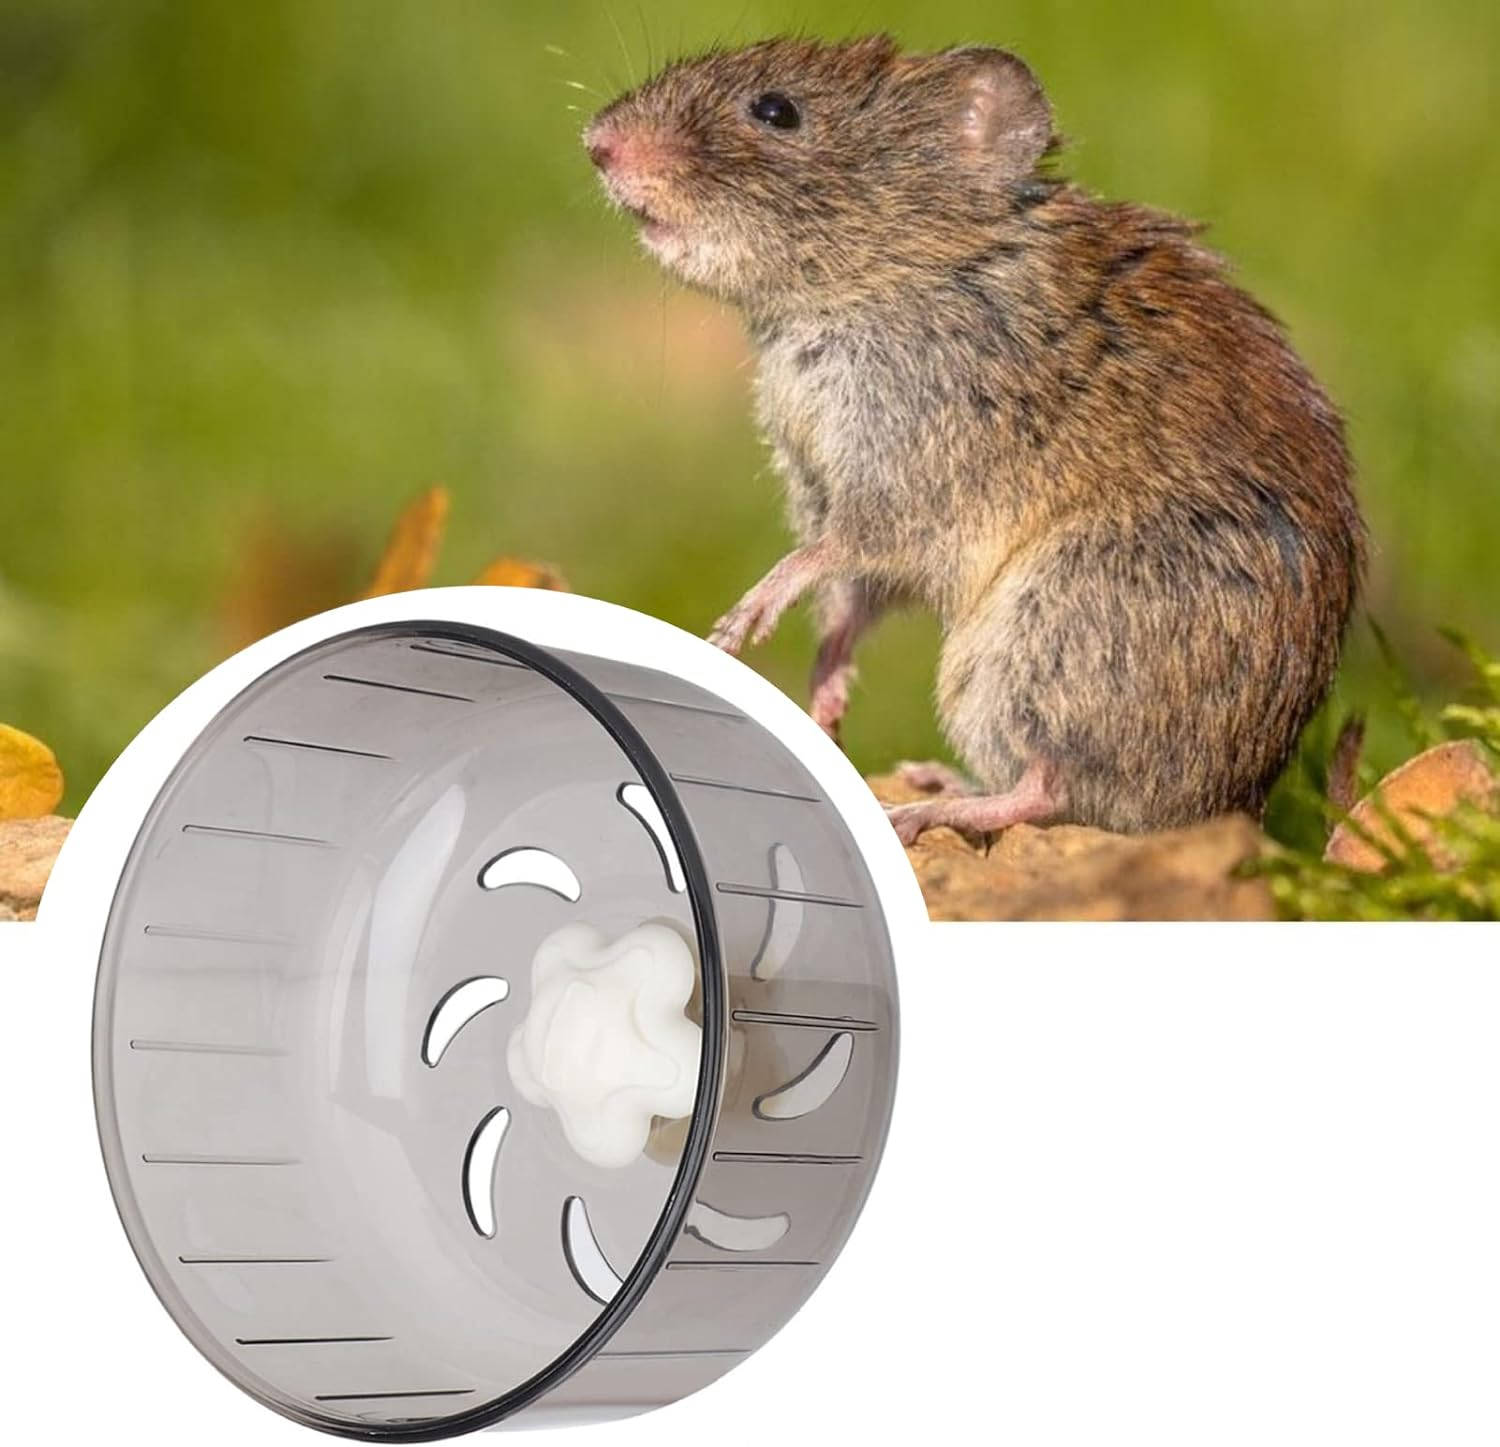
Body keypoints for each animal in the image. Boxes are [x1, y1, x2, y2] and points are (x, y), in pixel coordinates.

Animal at [585, 35, 1365, 843]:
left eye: (776, 111)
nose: (596, 143)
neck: (915, 267)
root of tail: (1230, 813)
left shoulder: (905, 474)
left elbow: (824, 556)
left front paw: (741, 622)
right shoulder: (825, 484)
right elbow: (847, 603)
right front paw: (824, 701)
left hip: (1049, 630)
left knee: (1046, 784)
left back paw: (922, 807)